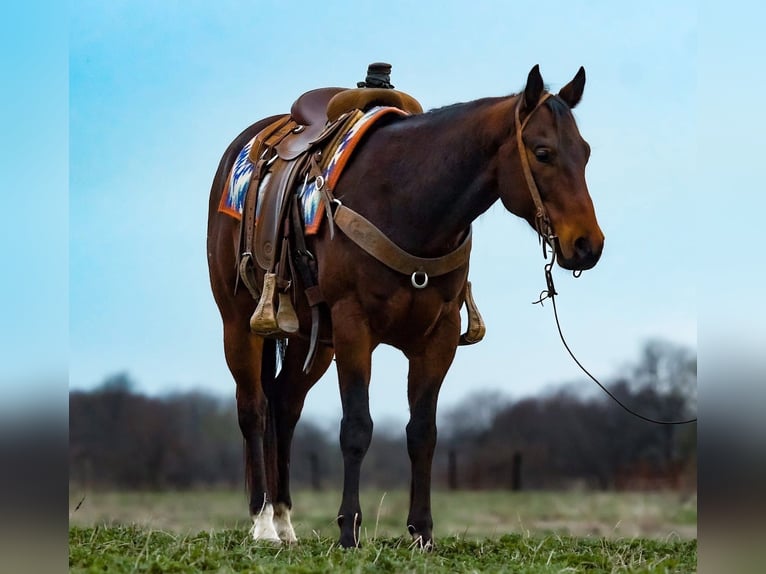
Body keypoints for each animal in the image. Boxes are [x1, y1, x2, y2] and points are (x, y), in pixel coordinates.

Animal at [206, 65, 604, 549]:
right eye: (543, 152)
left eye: (584, 153)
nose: (587, 245)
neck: (407, 202)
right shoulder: (354, 326)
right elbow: (357, 427)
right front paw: (349, 531)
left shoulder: (438, 336)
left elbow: (423, 433)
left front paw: (422, 534)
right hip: (239, 322)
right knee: (253, 408)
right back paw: (264, 523)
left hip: (312, 339)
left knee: (284, 404)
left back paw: (284, 521)